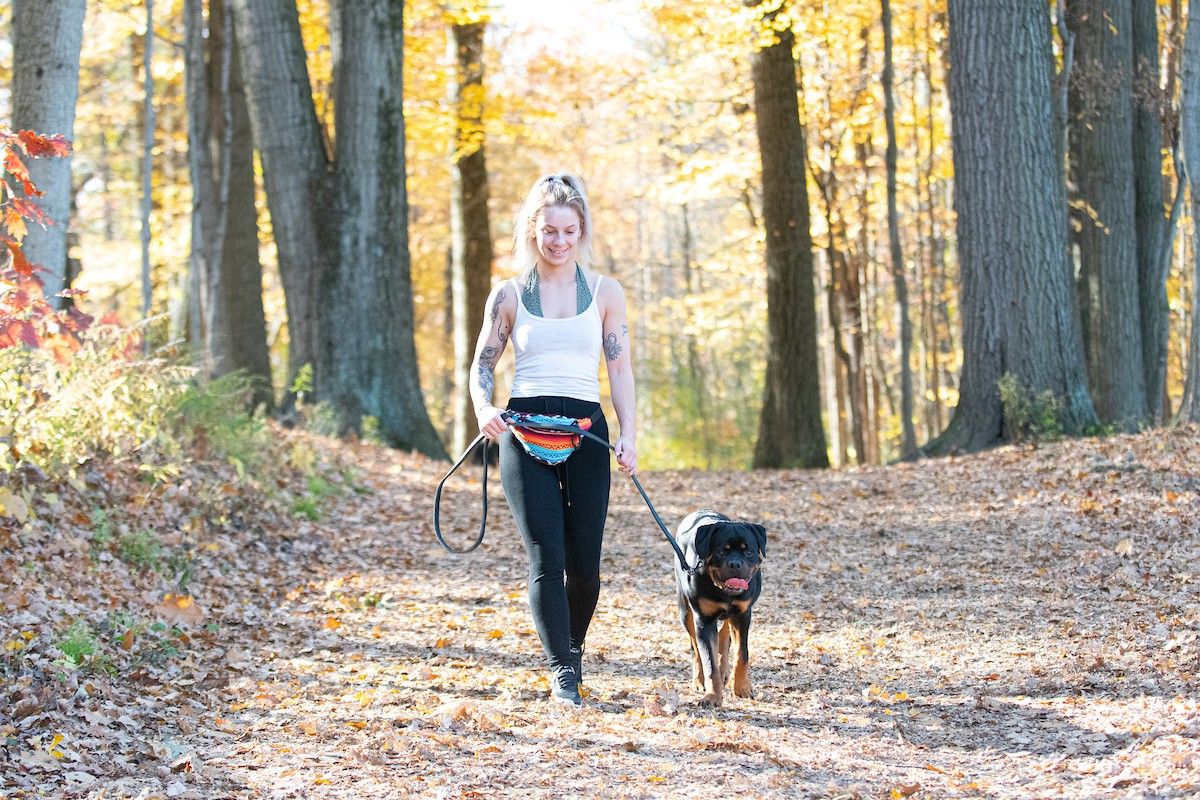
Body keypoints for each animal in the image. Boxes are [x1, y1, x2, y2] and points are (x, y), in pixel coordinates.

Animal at [676, 513, 768, 705]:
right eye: (721, 551)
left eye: (748, 551)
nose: (735, 564)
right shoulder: (703, 620)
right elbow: (709, 661)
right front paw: (712, 696)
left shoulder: (743, 615)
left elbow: (742, 653)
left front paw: (742, 688)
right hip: (685, 612)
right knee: (695, 647)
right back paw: (699, 680)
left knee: (725, 635)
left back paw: (725, 670)